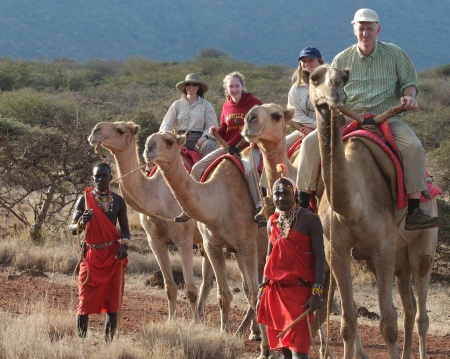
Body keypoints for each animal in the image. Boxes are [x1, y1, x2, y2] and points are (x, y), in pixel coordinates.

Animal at [89, 121, 215, 324]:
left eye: (120, 130)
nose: (95, 131)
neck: (157, 196)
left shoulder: (184, 239)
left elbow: (190, 288)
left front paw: (195, 324)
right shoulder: (154, 239)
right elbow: (170, 286)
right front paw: (171, 320)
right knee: (208, 281)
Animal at [243, 100, 440, 359]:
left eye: (276, 115)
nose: (249, 120)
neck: (352, 203)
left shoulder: (380, 249)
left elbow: (385, 322)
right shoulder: (335, 249)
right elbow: (345, 318)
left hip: (420, 245)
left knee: (420, 311)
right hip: (397, 260)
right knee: (408, 309)